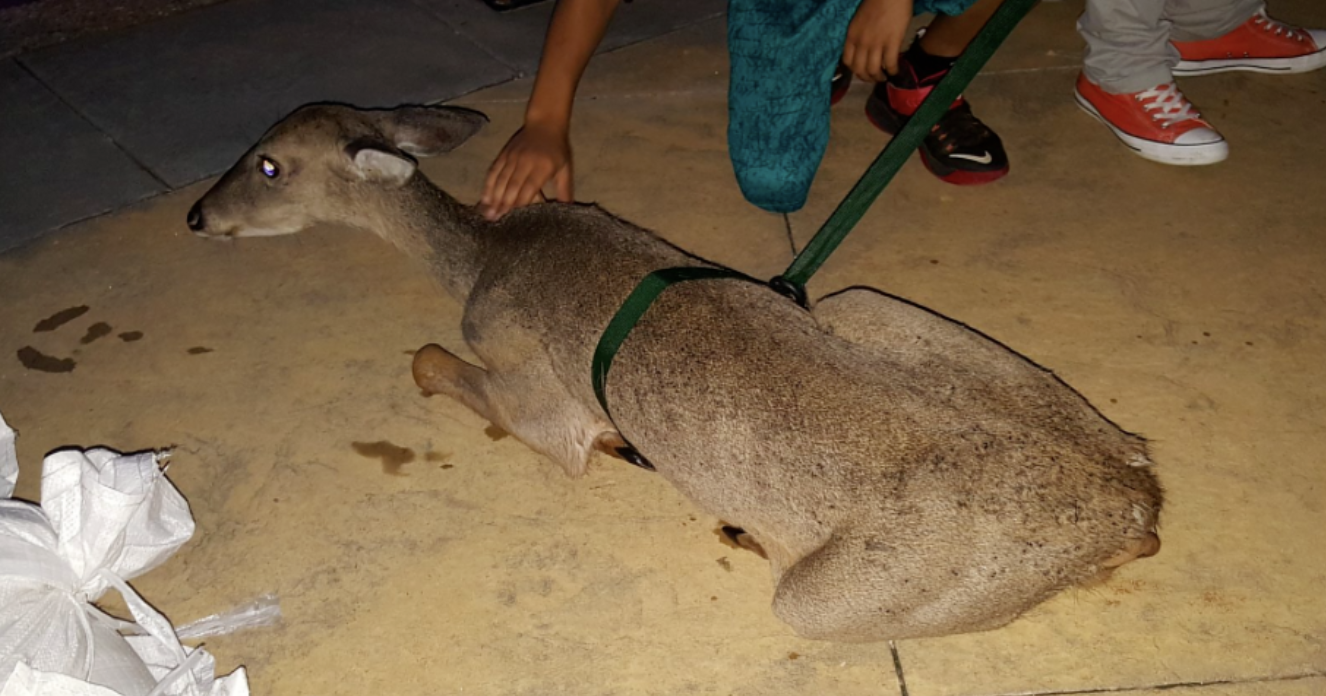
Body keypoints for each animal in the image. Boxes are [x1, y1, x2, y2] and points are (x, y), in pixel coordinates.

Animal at [186, 103, 1162, 642]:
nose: (196, 216)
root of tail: (1134, 503)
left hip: (827, 598)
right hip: (865, 307)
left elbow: (435, 363)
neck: (486, 257)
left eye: (269, 164)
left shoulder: (539, 404)